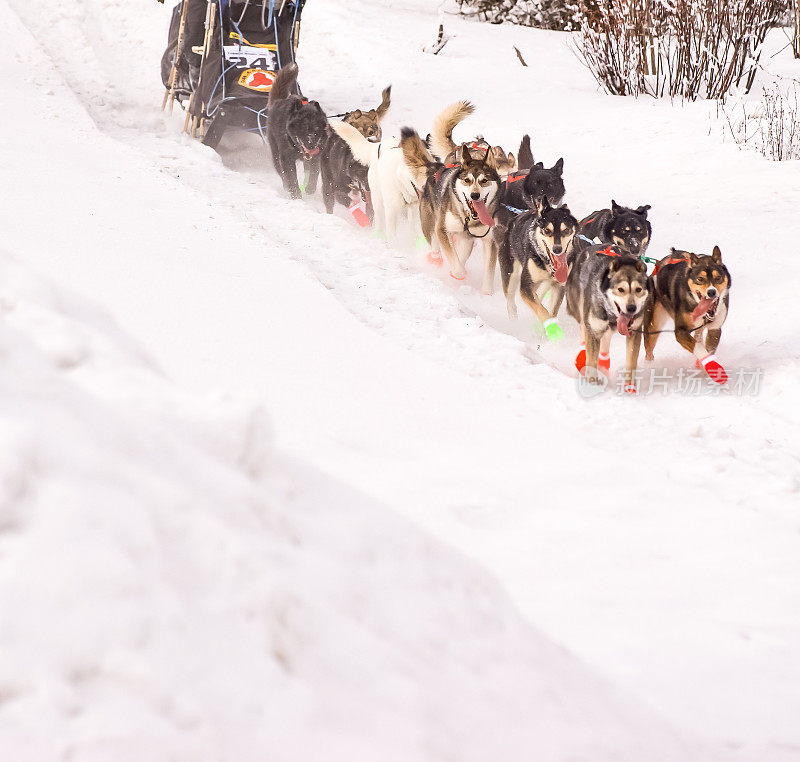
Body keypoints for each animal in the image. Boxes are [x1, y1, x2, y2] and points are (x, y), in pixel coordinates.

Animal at [400, 127, 500, 288]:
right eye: (467, 180)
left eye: (484, 180)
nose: (475, 195)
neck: (468, 217)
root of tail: (436, 168)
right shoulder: (442, 230)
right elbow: (456, 266)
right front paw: (457, 273)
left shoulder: (488, 240)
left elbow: (488, 273)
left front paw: (487, 291)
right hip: (431, 226)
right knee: (436, 248)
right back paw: (436, 262)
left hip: (464, 239)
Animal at [496, 197, 580, 340]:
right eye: (547, 231)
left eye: (566, 230)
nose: (557, 249)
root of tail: (510, 226)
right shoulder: (525, 288)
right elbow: (542, 311)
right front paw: (552, 329)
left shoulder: (559, 286)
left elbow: (551, 310)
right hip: (510, 275)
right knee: (511, 301)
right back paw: (514, 321)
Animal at [564, 242, 652, 392]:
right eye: (621, 289)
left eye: (638, 289)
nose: (631, 308)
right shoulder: (593, 330)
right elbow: (591, 361)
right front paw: (591, 385)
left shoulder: (634, 332)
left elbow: (631, 362)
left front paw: (629, 388)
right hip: (582, 311)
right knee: (583, 330)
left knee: (606, 339)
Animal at [648, 246, 736, 382]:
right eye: (700, 279)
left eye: (718, 278)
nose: (711, 292)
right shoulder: (680, 331)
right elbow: (698, 348)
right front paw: (713, 367)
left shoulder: (715, 329)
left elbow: (709, 349)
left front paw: (706, 370)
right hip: (655, 324)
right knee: (648, 349)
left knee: (698, 335)